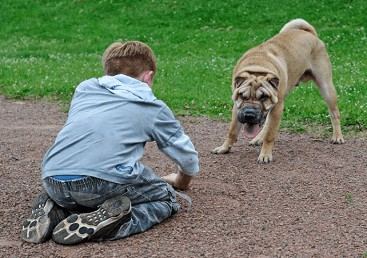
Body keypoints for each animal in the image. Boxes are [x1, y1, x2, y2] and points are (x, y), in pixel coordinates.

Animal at [213, 18, 344, 163]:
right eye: (242, 96)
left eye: (263, 97)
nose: (249, 114)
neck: (258, 66)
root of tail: (310, 33)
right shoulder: (237, 108)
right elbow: (232, 131)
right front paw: (224, 147)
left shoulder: (277, 107)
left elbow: (270, 135)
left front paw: (265, 155)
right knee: (266, 123)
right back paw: (258, 138)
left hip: (326, 87)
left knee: (334, 113)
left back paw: (337, 136)